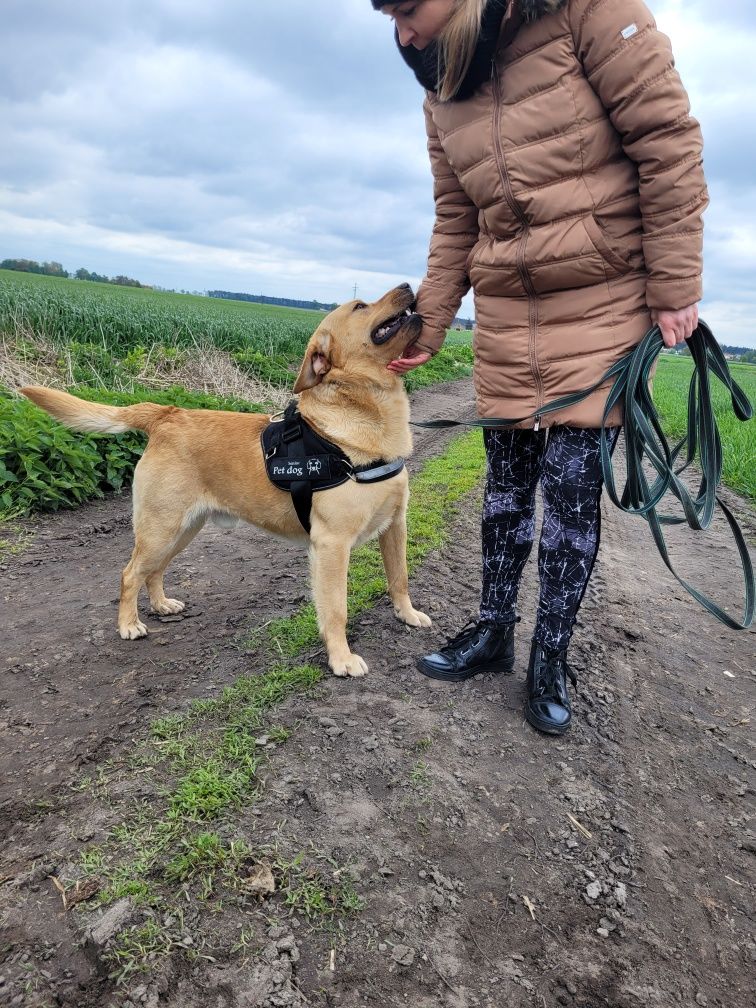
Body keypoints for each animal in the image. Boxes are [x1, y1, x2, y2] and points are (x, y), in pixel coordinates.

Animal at [22, 284, 431, 677]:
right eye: (361, 306)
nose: (408, 285)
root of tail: (166, 414)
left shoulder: (396, 525)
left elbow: (400, 577)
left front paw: (406, 615)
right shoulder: (332, 544)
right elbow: (336, 609)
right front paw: (341, 659)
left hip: (182, 529)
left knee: (153, 571)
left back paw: (161, 604)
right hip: (161, 528)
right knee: (129, 573)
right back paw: (129, 624)